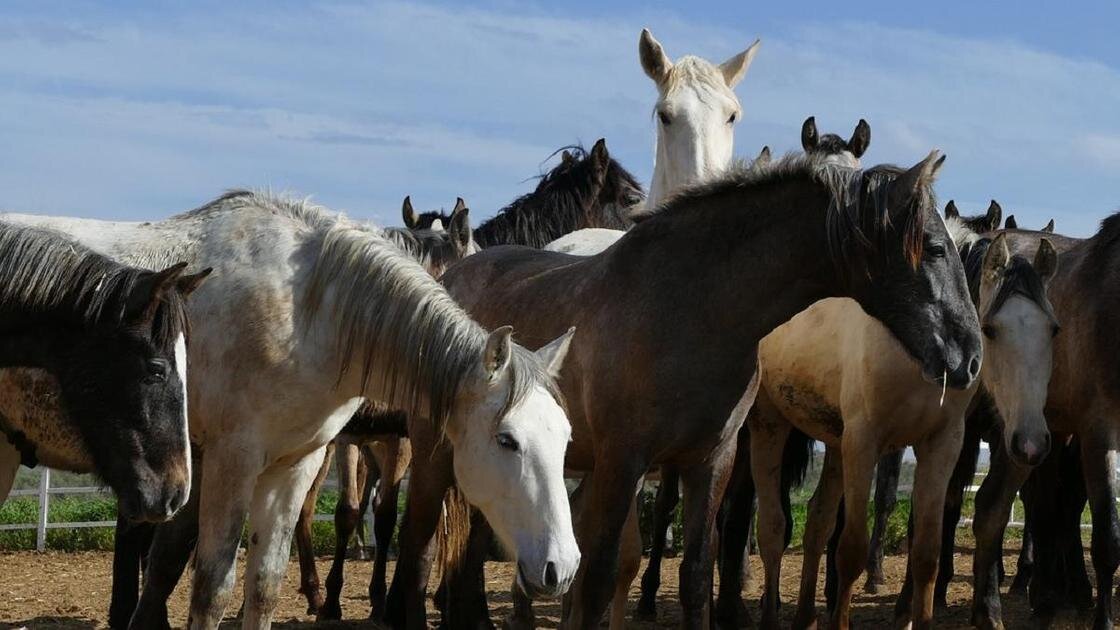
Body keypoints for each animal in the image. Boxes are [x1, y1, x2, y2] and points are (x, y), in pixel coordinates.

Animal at [0, 191, 577, 627]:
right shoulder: (231, 461)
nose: (562, 566)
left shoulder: (296, 461)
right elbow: (211, 588)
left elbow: (265, 585)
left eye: (565, 438)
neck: (306, 310)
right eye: (507, 440)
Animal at [436, 153, 981, 627]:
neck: (691, 309)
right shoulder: (622, 463)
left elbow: (697, 577)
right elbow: (597, 579)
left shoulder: (710, 461)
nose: (971, 354)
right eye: (934, 247)